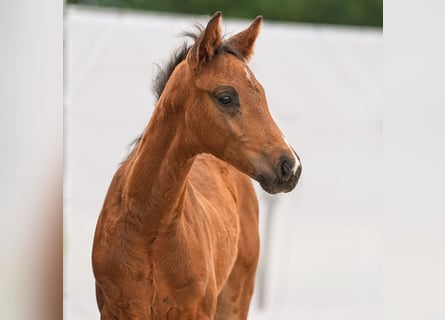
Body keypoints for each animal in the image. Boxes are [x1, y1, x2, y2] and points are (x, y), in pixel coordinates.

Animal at [93, 11, 302, 320]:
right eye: (226, 97)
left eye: (262, 95)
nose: (291, 166)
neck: (147, 225)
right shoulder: (114, 310)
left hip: (235, 299)